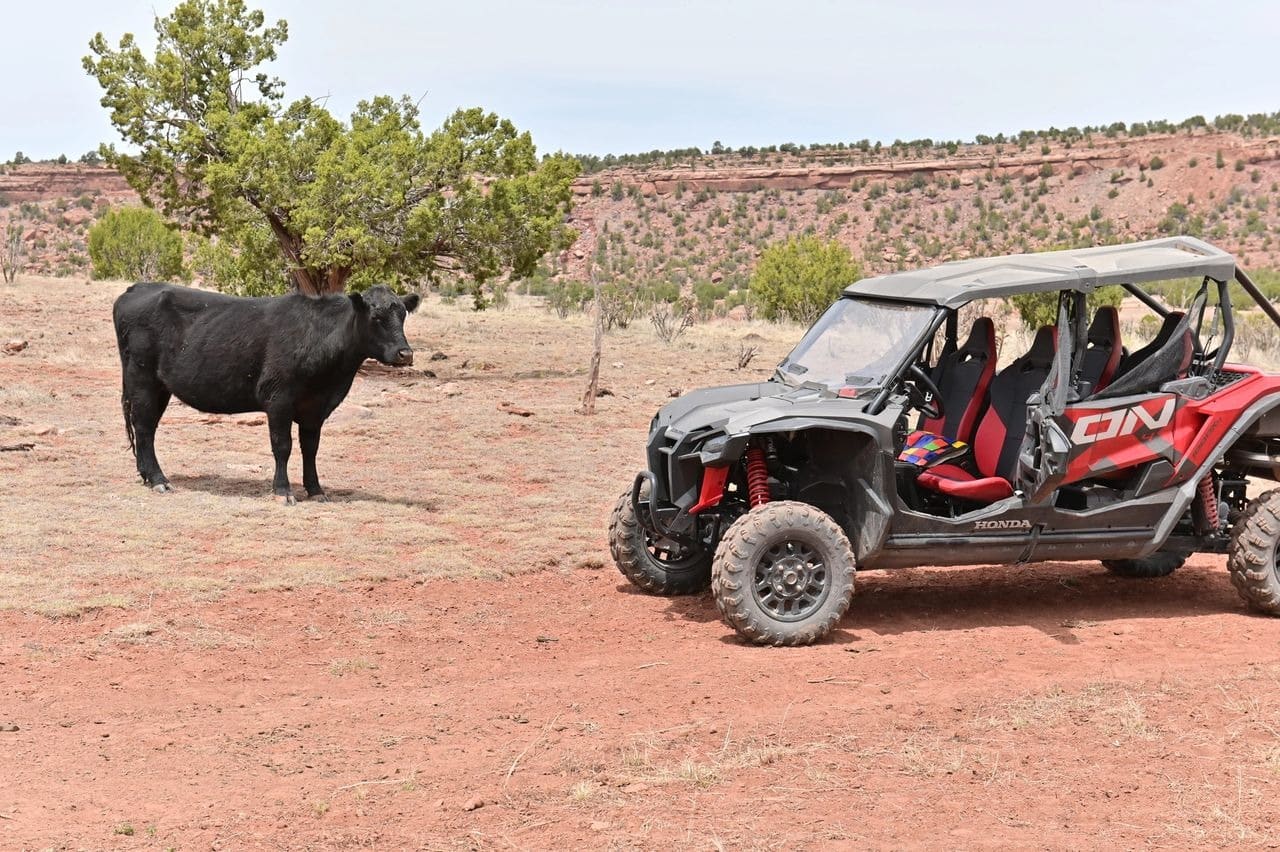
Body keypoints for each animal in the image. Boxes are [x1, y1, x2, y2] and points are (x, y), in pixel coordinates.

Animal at [110, 281, 419, 501]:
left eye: (403, 315)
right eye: (376, 317)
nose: (405, 353)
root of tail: (136, 288)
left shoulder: (315, 407)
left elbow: (311, 448)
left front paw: (316, 490)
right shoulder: (278, 399)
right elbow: (282, 445)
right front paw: (282, 491)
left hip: (160, 385)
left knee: (146, 427)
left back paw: (148, 476)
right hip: (142, 378)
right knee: (144, 427)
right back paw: (159, 480)